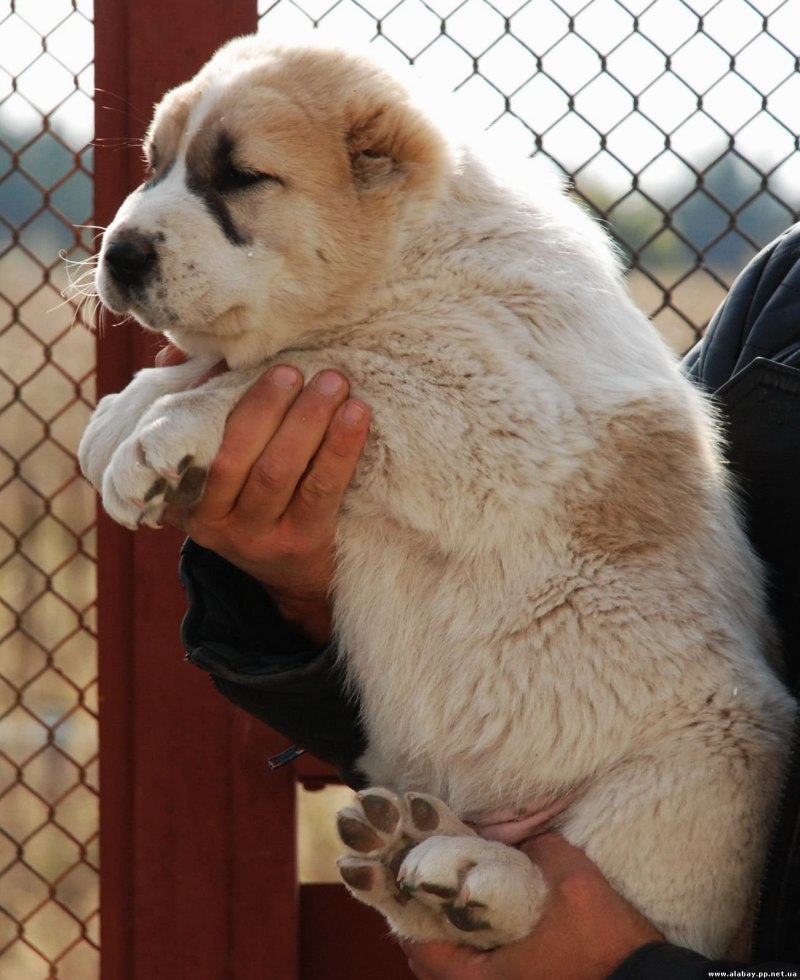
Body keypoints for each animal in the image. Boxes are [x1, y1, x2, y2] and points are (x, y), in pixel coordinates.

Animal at [79, 38, 792, 956]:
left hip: (712, 767)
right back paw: (402, 851)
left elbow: (313, 362)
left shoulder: (491, 410)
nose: (120, 254)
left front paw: (161, 433)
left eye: (241, 176)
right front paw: (126, 413)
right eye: (154, 165)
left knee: (588, 891)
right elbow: (236, 360)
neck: (409, 254)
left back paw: (480, 876)